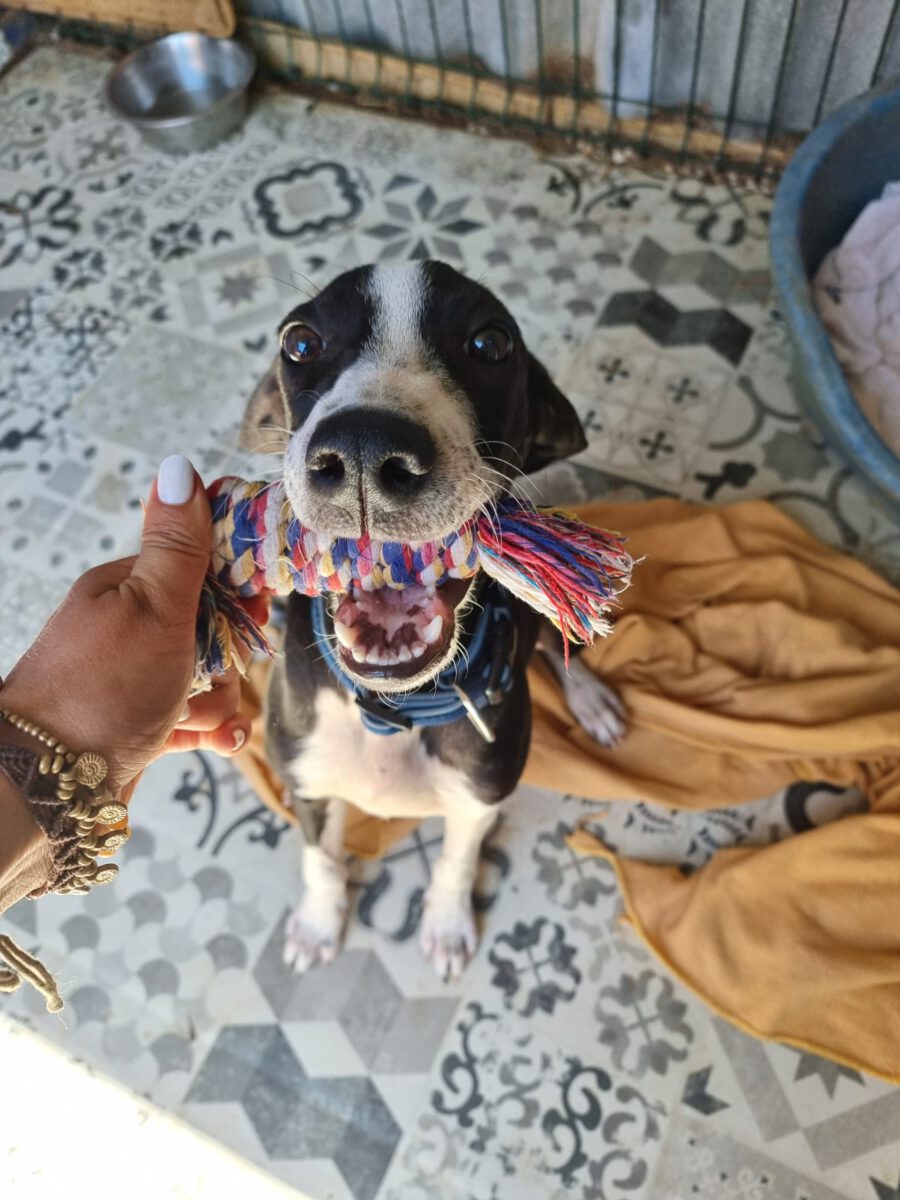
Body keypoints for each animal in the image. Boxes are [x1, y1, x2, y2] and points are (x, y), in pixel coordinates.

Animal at [242, 261, 626, 979]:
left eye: (491, 343)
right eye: (300, 342)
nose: (363, 450)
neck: (393, 710)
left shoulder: (478, 797)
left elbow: (455, 861)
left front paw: (446, 927)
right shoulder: (304, 779)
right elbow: (319, 858)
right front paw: (318, 923)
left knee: (559, 644)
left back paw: (590, 700)